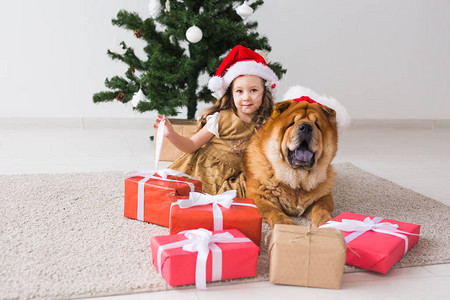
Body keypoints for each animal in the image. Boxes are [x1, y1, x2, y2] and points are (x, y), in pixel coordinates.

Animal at [243, 98, 338, 227]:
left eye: (317, 125)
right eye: (291, 124)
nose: (306, 127)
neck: (298, 179)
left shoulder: (323, 196)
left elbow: (321, 209)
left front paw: (326, 225)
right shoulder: (258, 196)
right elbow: (275, 212)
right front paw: (288, 227)